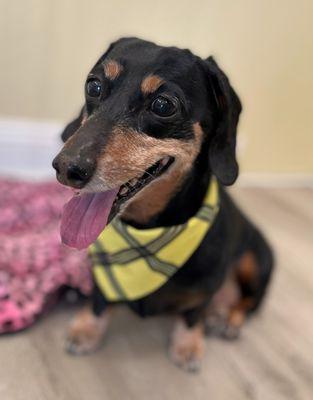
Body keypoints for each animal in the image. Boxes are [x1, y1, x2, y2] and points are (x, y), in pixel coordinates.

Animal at [51, 37, 272, 372]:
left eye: (163, 105)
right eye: (94, 86)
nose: (66, 168)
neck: (148, 230)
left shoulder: (206, 290)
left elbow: (194, 313)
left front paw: (188, 345)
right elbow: (100, 298)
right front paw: (87, 328)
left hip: (259, 260)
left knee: (248, 302)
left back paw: (227, 319)